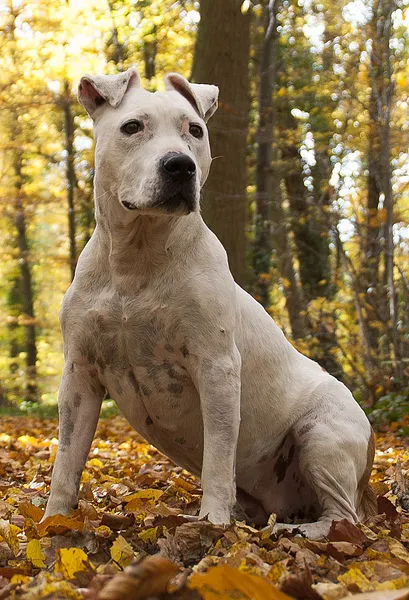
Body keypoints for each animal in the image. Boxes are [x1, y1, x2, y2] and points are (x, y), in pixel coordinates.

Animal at [43, 65, 374, 540]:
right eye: (132, 127)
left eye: (195, 131)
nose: (180, 165)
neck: (137, 259)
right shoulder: (80, 376)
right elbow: (67, 461)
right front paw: (51, 521)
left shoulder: (216, 368)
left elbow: (218, 454)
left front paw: (213, 521)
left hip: (323, 433)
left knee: (342, 517)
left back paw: (293, 531)